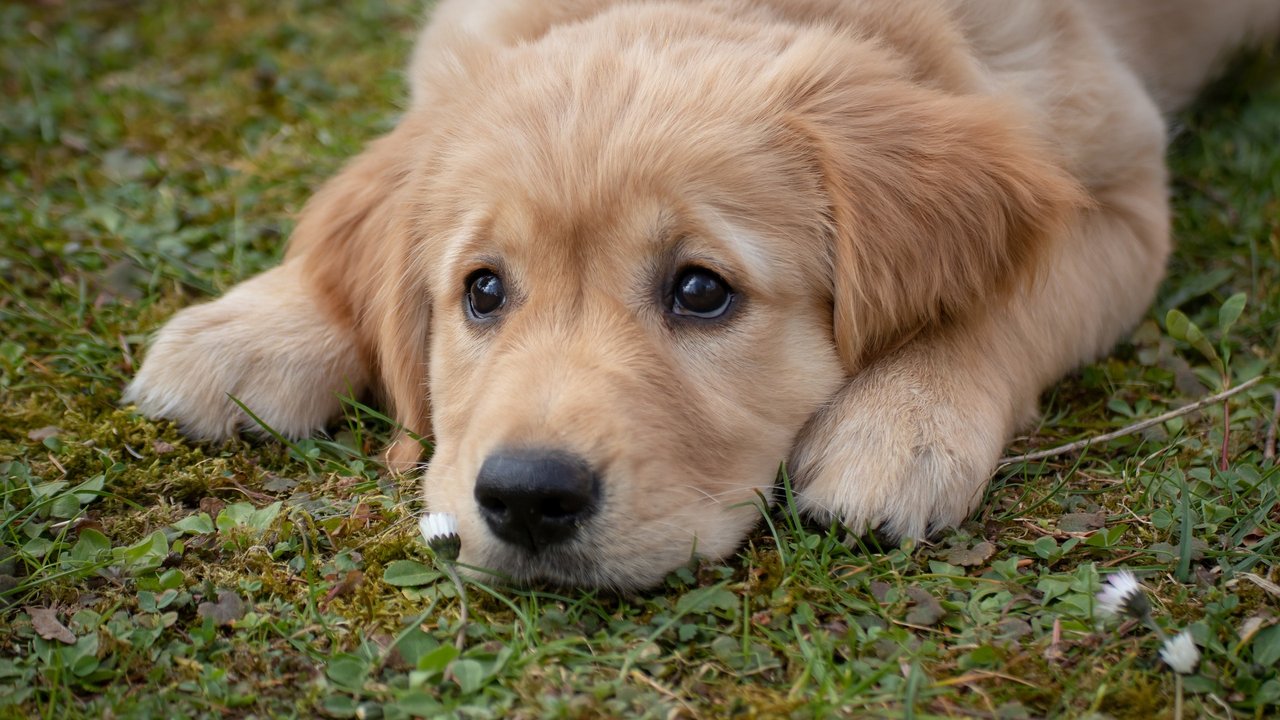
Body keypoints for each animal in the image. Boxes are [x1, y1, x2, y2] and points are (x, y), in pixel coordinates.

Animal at [127, 0, 1280, 586]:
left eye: (700, 291)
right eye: (482, 291)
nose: (526, 498)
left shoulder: (1118, 189)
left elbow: (1006, 299)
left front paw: (903, 423)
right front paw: (254, 327)